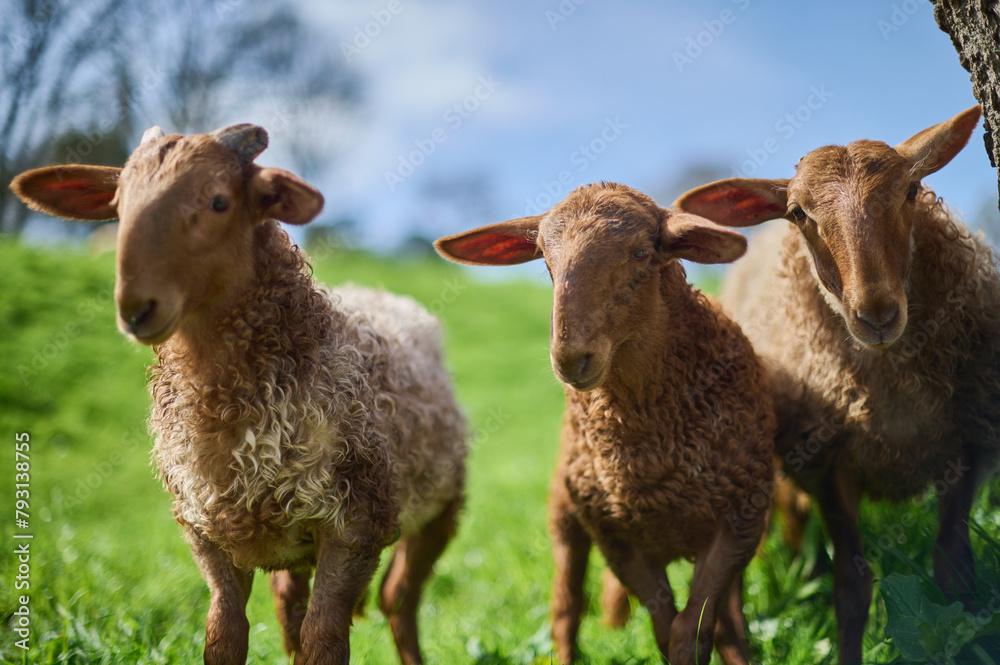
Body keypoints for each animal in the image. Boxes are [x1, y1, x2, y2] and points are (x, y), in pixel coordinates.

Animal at [10, 124, 467, 665]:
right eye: (118, 204)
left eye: (218, 201)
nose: (135, 308)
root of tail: (377, 291)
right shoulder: (206, 530)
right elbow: (224, 635)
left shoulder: (357, 524)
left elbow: (324, 640)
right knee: (293, 608)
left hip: (441, 505)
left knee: (398, 598)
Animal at [434, 182, 775, 665]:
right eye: (544, 257)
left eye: (640, 252)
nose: (571, 357)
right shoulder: (615, 539)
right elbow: (667, 627)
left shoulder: (741, 522)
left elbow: (695, 629)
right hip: (567, 513)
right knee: (567, 605)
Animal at [674, 105, 1000, 664]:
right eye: (798, 213)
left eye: (912, 190)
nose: (876, 313)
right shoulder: (829, 461)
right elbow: (851, 587)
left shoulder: (966, 443)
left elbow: (954, 571)